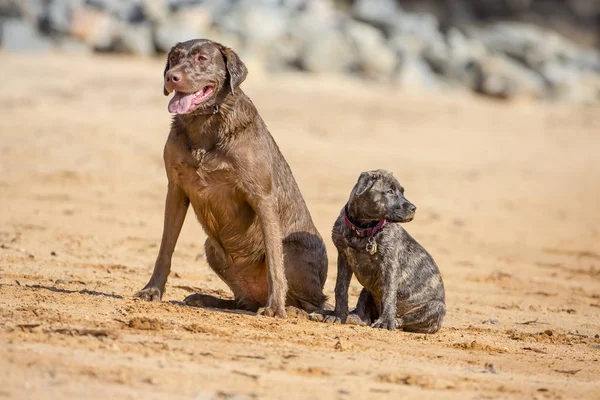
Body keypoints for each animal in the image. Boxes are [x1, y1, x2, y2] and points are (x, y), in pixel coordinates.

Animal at [135, 39, 328, 318]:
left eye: (202, 59)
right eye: (173, 58)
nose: (172, 77)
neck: (206, 123)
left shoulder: (262, 197)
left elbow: (275, 263)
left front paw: (275, 308)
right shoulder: (176, 189)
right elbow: (165, 248)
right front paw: (152, 290)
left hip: (295, 248)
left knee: (313, 304)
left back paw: (293, 310)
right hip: (211, 248)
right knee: (243, 301)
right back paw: (205, 299)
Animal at [326, 170, 442, 332]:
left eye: (402, 191)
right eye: (390, 191)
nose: (414, 208)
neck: (363, 229)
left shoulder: (390, 264)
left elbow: (389, 294)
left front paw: (386, 321)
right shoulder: (343, 257)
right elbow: (340, 288)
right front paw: (338, 315)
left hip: (436, 307)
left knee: (406, 319)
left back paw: (394, 321)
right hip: (366, 291)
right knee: (363, 317)